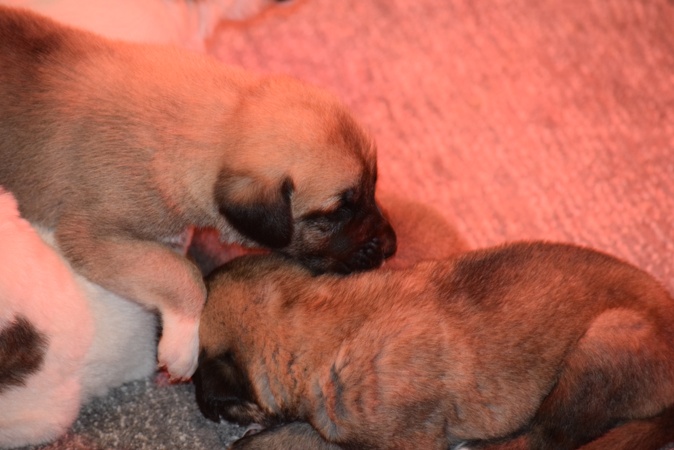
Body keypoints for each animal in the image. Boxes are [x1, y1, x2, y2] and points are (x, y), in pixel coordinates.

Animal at [0, 6, 396, 380]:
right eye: (337, 212)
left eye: (372, 187)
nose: (392, 247)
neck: (209, 125)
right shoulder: (90, 234)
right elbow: (182, 273)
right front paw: (183, 346)